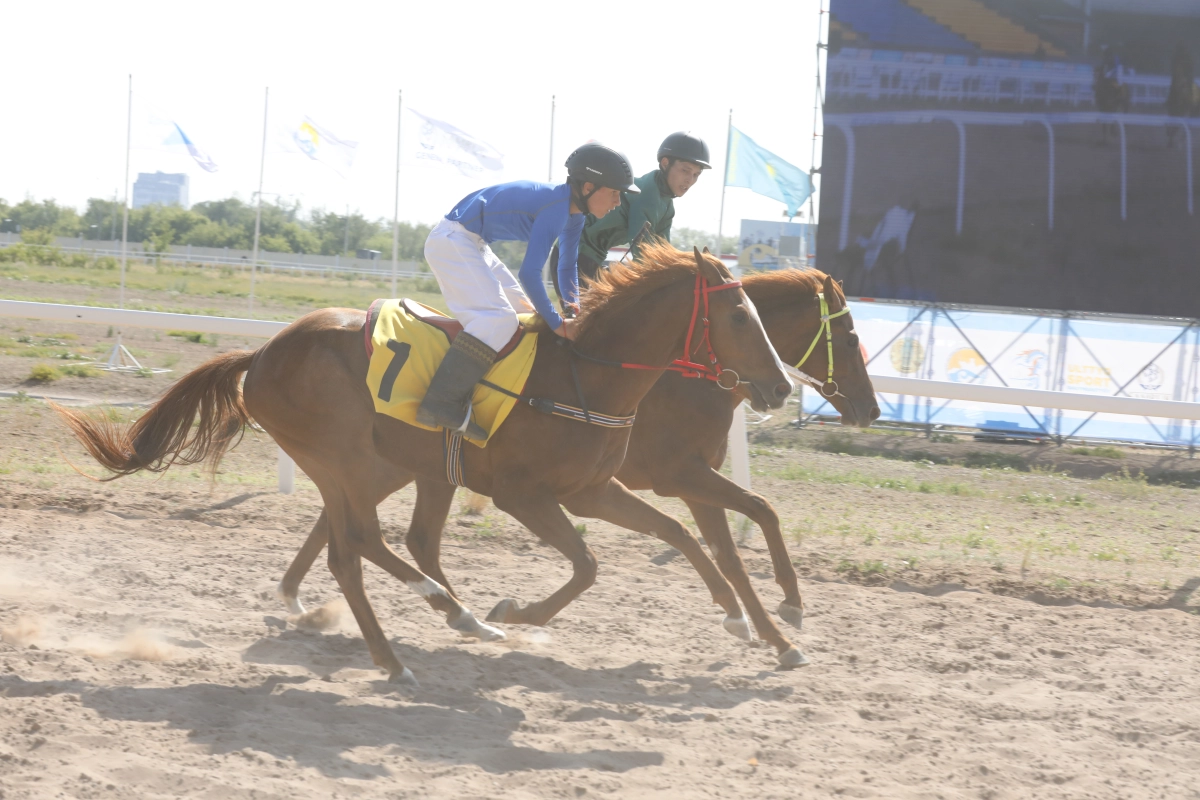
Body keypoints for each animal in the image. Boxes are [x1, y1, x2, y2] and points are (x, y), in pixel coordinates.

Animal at [56, 247, 792, 686]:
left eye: (759, 311)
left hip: (393, 465)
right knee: (359, 545)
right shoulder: (525, 494)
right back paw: (422, 637)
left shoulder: (594, 489)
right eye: (738, 313)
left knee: (379, 544)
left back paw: (440, 619)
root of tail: (262, 353)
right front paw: (517, 611)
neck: (587, 376)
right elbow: (587, 566)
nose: (781, 386)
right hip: (342, 455)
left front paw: (742, 619)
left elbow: (680, 535)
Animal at [276, 268, 878, 671]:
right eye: (851, 338)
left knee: (355, 525)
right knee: (358, 526)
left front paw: (770, 631)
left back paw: (303, 599)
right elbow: (751, 517)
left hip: (406, 463)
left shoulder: (676, 483)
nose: (871, 409)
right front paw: (786, 611)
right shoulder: (678, 477)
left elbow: (728, 545)